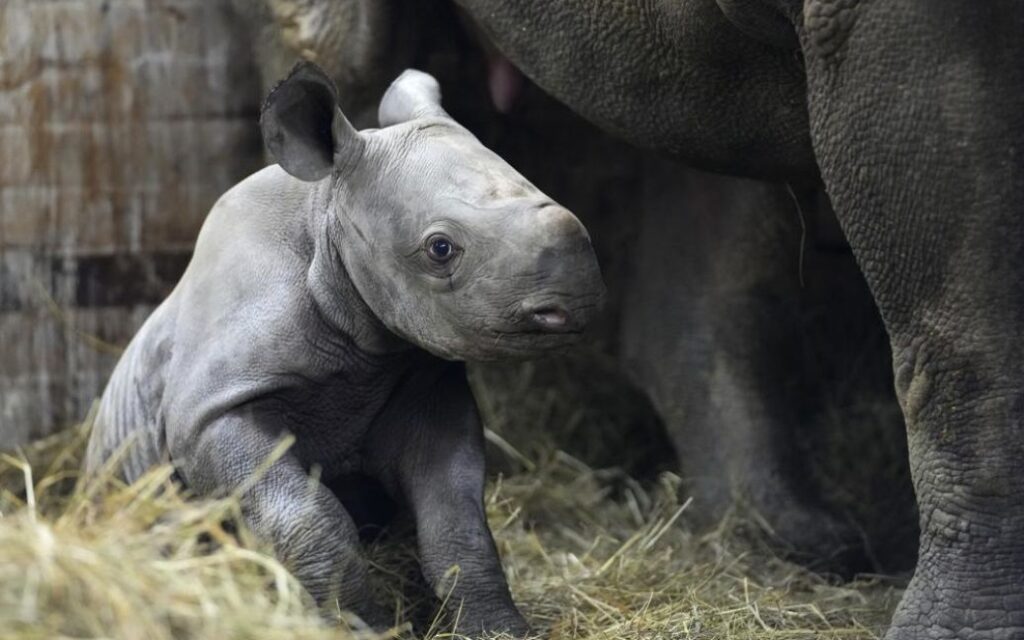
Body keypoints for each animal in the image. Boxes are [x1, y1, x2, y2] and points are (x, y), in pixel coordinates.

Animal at [88, 62, 602, 630]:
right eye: (440, 249)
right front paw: (362, 626)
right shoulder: (211, 409)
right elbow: (307, 515)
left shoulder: (424, 384)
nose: (573, 304)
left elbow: (456, 520)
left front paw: (499, 629)